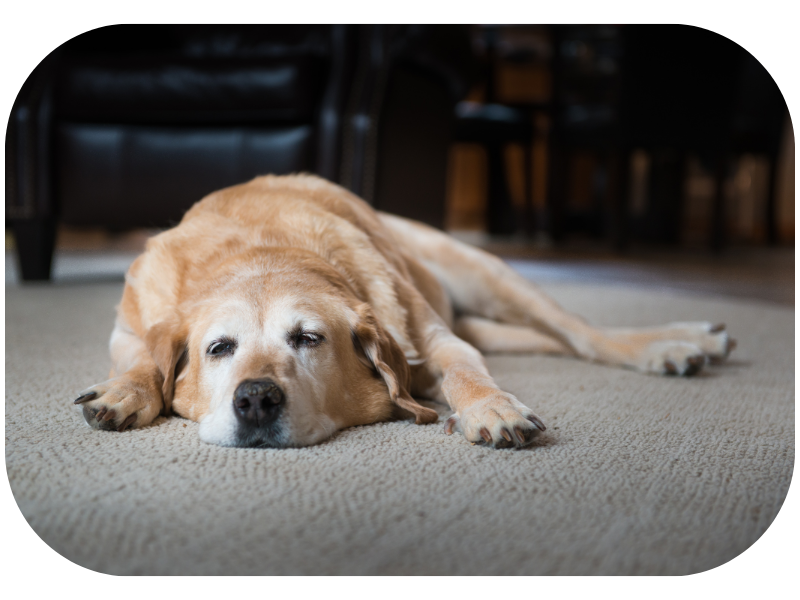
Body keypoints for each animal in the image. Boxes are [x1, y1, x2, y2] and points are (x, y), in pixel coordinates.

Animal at [75, 172, 736, 446]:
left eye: (308, 339)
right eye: (219, 349)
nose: (256, 398)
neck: (262, 251)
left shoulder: (437, 341)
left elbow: (466, 373)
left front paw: (491, 408)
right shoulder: (127, 330)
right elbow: (142, 361)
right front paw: (124, 392)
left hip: (486, 274)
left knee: (581, 334)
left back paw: (671, 344)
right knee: (547, 340)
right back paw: (696, 340)